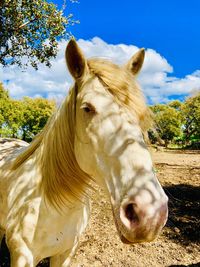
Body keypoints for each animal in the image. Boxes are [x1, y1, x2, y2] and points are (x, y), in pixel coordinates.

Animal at [0, 38, 169, 266]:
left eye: (140, 114)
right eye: (87, 108)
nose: (150, 215)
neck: (54, 204)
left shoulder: (65, 253)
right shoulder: (22, 256)